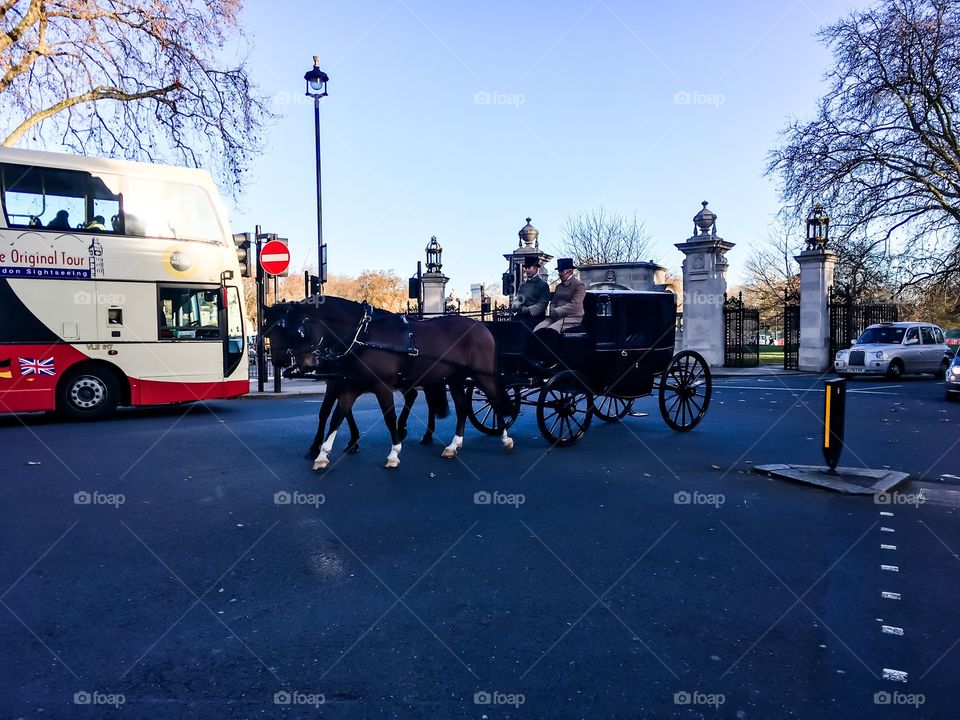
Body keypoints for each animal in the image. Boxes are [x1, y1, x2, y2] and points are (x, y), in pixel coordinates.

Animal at [262, 296, 516, 470]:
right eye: (268, 331)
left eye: (296, 332)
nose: (286, 362)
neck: (362, 334)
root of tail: (481, 326)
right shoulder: (350, 385)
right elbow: (336, 416)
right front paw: (323, 454)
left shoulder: (380, 386)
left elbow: (388, 418)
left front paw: (394, 453)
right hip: (455, 379)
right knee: (462, 406)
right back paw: (453, 445)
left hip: (482, 376)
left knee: (494, 399)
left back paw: (505, 438)